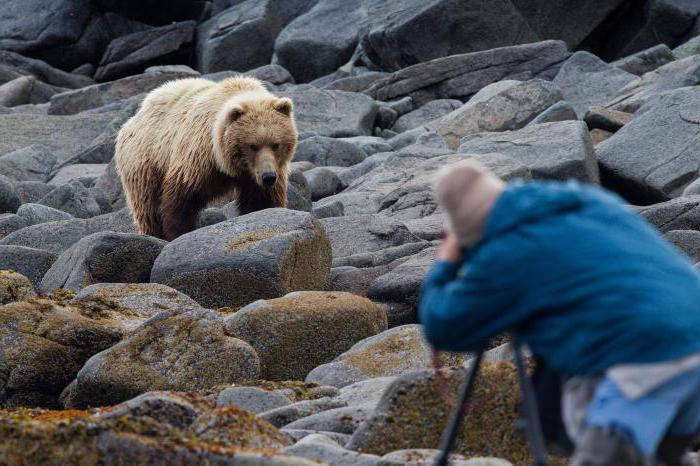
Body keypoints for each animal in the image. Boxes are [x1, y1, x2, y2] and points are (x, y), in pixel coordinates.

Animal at [114, 76, 298, 240]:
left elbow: (261, 201)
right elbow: (180, 198)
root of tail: (135, 116)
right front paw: (178, 233)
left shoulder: (265, 173)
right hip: (145, 159)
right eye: (252, 145)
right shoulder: (198, 156)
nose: (268, 177)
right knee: (147, 205)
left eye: (275, 144)